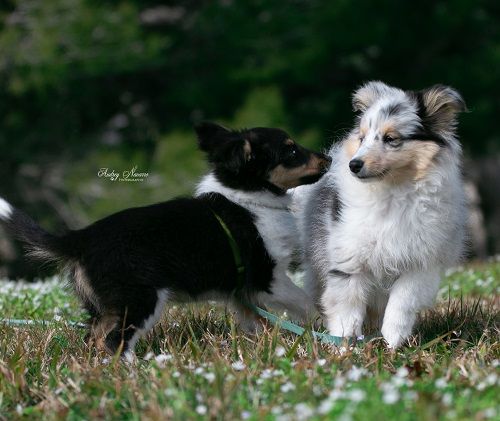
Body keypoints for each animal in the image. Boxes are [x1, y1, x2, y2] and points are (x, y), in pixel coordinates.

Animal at [0, 122, 330, 358]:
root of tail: (80, 239)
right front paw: (323, 326)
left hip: (106, 305)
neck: (248, 197)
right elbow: (304, 301)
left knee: (94, 336)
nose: (328, 157)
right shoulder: (267, 277)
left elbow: (256, 321)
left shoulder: (241, 291)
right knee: (115, 341)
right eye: (291, 152)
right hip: (140, 298)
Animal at [296, 82, 464, 348]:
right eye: (362, 138)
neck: (392, 191)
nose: (354, 165)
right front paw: (344, 345)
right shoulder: (349, 256)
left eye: (390, 139)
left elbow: (403, 300)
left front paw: (393, 341)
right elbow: (347, 308)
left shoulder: (420, 261)